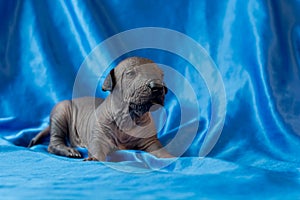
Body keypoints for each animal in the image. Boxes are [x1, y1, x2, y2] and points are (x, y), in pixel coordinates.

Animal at [29, 56, 173, 161]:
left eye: (161, 74)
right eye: (130, 74)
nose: (157, 87)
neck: (128, 117)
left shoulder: (150, 141)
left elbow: (160, 150)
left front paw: (171, 157)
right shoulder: (99, 137)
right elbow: (97, 148)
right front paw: (94, 158)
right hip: (61, 110)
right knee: (54, 142)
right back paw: (68, 151)